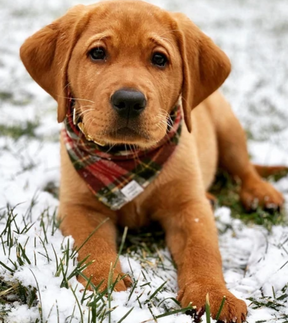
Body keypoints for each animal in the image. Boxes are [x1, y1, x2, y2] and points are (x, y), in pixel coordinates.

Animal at [19, 1, 284, 322]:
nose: (129, 101)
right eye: (97, 53)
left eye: (159, 59)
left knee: (245, 170)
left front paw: (213, 295)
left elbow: (203, 249)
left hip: (229, 128)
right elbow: (91, 245)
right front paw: (102, 283)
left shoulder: (188, 208)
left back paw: (262, 195)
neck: (128, 157)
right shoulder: (79, 207)